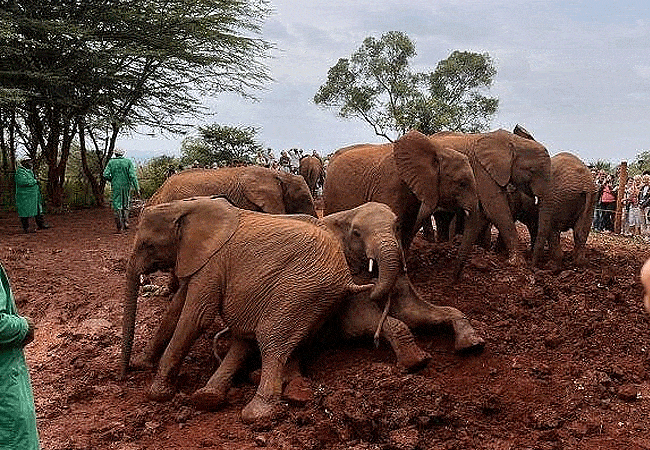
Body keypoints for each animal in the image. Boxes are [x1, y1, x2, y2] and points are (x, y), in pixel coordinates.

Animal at [120, 197, 370, 422]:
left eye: (147, 245)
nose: (123, 375)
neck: (187, 206)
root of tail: (347, 277)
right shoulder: (200, 262)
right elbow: (174, 311)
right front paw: (142, 364)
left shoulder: (212, 263)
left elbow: (195, 318)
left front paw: (156, 393)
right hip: (315, 297)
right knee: (255, 337)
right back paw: (213, 396)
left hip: (302, 287)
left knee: (271, 338)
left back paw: (256, 413)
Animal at [428, 128, 548, 272]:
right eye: (532, 170)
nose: (534, 267)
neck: (514, 141)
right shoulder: (482, 170)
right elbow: (496, 208)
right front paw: (517, 263)